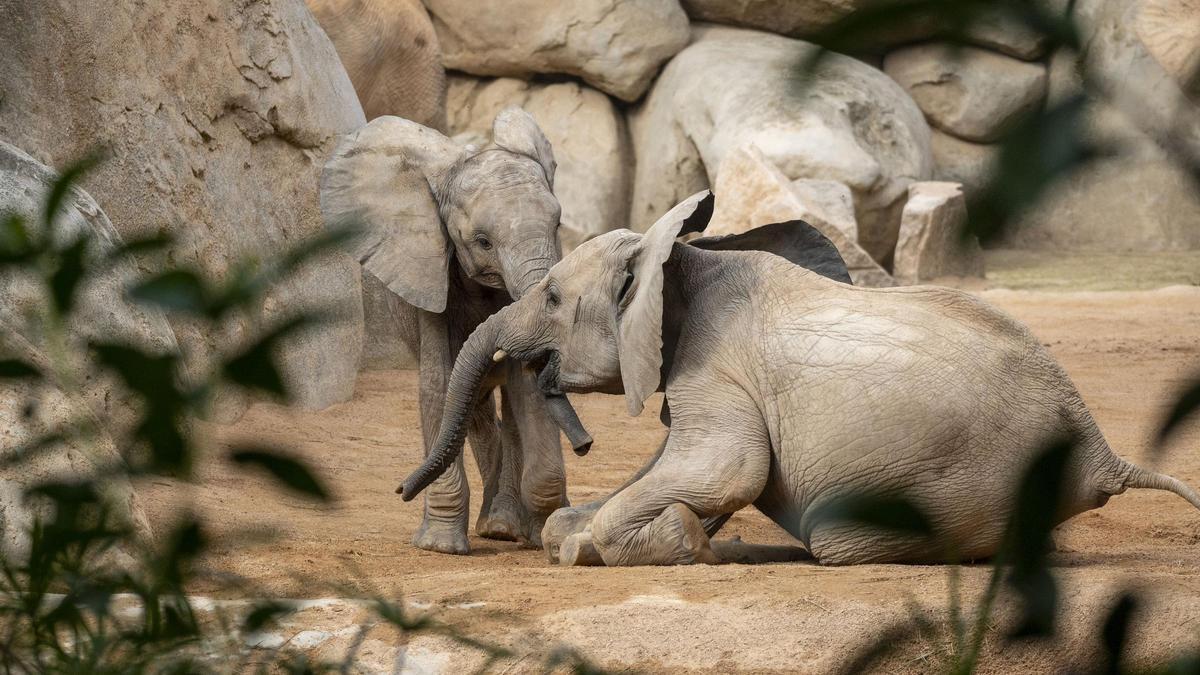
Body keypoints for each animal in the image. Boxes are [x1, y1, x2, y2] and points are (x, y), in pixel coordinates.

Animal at [399, 190, 1200, 567]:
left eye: (553, 299)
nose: (402, 491)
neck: (683, 258)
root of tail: (1101, 451)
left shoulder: (715, 365)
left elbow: (725, 469)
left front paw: (607, 543)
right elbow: (678, 468)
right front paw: (595, 530)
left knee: (836, 542)